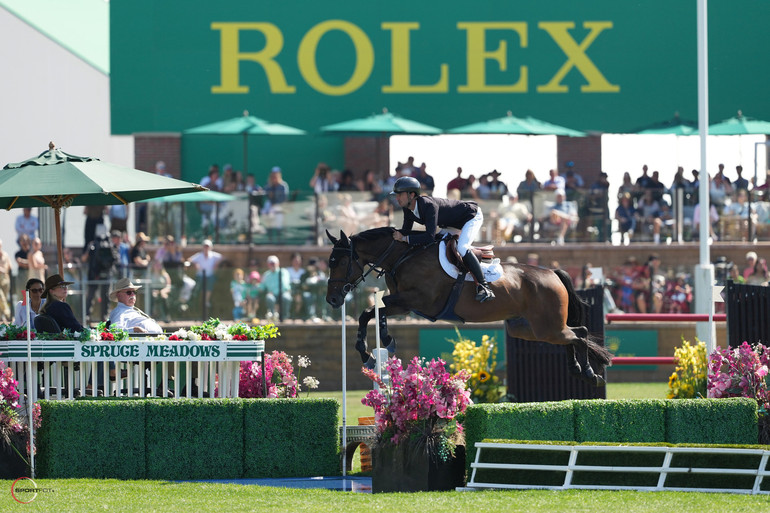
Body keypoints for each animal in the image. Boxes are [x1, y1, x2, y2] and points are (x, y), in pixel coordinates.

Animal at [324, 226, 612, 386]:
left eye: (339, 262)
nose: (332, 300)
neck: (403, 256)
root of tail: (552, 273)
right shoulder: (405, 306)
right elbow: (370, 313)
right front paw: (367, 354)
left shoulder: (416, 300)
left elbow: (377, 309)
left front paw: (384, 340)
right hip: (529, 329)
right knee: (574, 335)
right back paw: (578, 370)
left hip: (546, 326)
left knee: (580, 334)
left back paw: (589, 373)